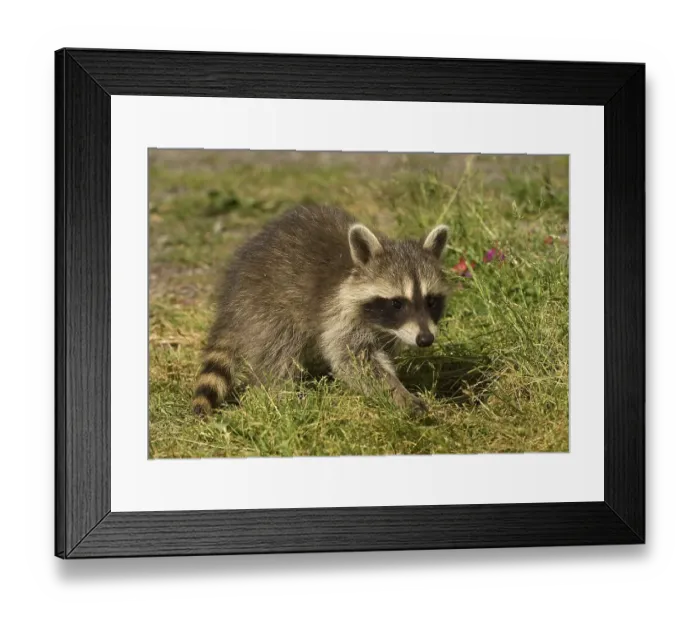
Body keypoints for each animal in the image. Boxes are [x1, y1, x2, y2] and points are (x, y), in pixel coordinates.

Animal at [192, 204, 450, 417]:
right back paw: (281, 392)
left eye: (431, 301)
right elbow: (354, 359)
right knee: (278, 350)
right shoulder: (339, 313)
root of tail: (231, 298)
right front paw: (398, 393)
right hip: (266, 305)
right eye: (397, 303)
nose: (425, 339)